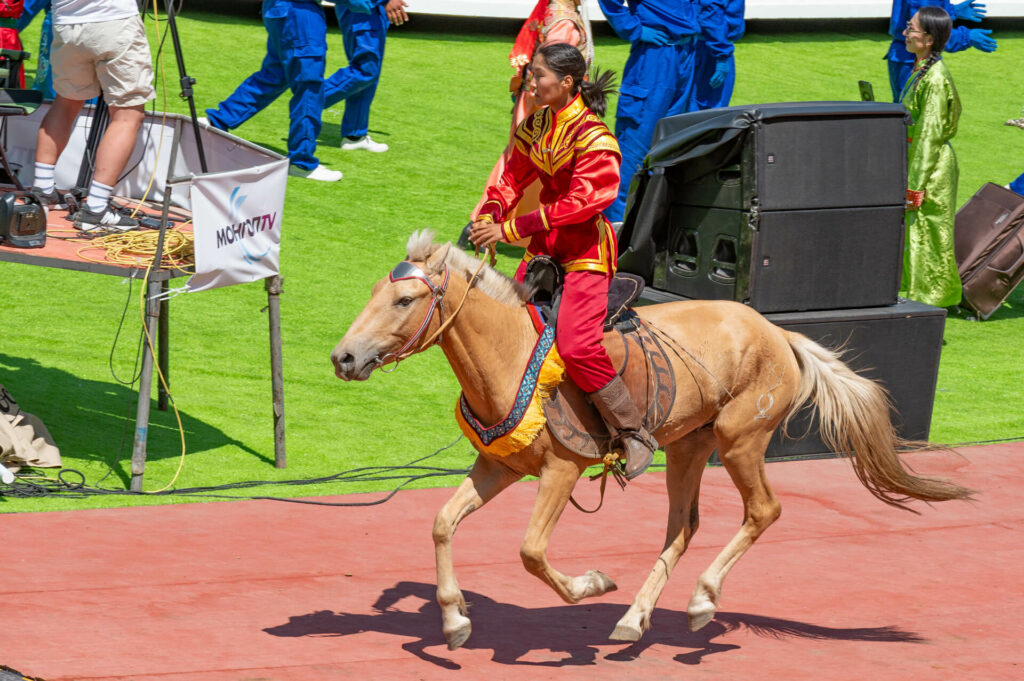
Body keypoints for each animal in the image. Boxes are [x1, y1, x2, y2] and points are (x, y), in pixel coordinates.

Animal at [331, 232, 970, 647]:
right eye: (372, 292)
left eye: (405, 300)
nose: (344, 357)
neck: (512, 358)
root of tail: (777, 332)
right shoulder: (500, 467)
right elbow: (442, 523)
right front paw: (454, 617)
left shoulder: (562, 469)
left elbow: (532, 552)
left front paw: (590, 583)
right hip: (689, 445)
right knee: (682, 528)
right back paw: (635, 618)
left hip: (740, 439)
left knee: (763, 510)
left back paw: (702, 599)